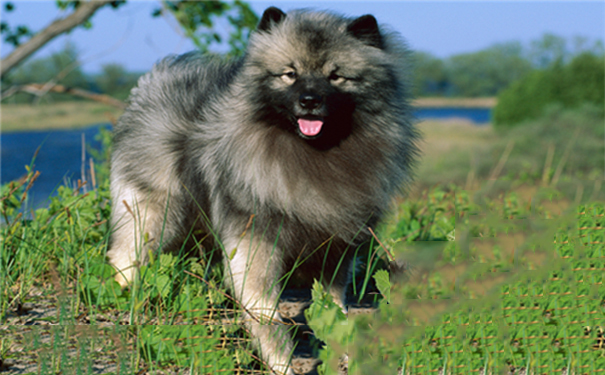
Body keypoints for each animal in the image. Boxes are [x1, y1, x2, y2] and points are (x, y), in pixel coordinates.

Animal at [108, 6, 418, 375]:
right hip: (153, 213)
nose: (309, 100)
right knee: (125, 255)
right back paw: (122, 294)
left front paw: (341, 351)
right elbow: (267, 317)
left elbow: (333, 307)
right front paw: (282, 362)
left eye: (335, 76)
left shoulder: (333, 248)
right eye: (290, 74)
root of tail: (152, 81)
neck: (312, 157)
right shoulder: (255, 245)